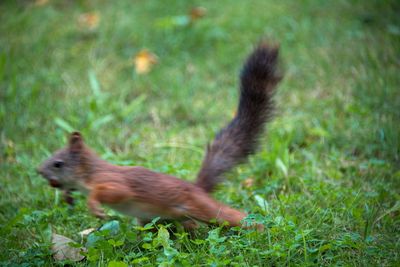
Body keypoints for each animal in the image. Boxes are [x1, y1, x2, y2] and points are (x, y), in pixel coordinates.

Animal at [36, 42, 282, 230]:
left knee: (229, 216)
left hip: (200, 207)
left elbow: (108, 192)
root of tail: (197, 188)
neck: (89, 173)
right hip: (155, 217)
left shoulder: (113, 183)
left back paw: (258, 228)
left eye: (58, 163)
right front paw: (67, 196)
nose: (39, 171)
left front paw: (94, 206)